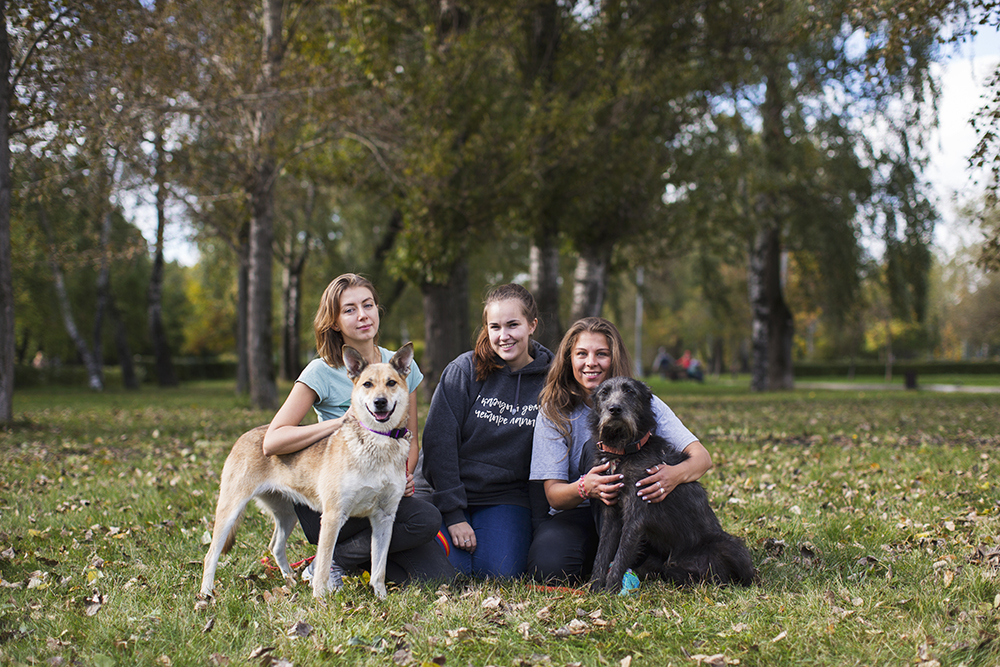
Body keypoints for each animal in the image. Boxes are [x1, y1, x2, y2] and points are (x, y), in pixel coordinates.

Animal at [201, 344, 412, 600]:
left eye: (391, 383)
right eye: (367, 384)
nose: (380, 402)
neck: (378, 440)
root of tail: (245, 435)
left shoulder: (385, 517)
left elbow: (379, 568)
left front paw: (381, 597)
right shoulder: (333, 516)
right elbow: (323, 564)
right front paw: (321, 599)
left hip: (287, 514)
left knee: (275, 546)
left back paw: (289, 580)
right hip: (230, 509)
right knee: (211, 554)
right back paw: (206, 593)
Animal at [588, 378, 752, 592]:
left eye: (630, 391)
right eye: (604, 392)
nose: (615, 409)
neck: (622, 451)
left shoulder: (636, 515)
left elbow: (621, 554)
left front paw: (609, 591)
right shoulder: (611, 512)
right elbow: (602, 553)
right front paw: (594, 588)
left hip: (732, 546)